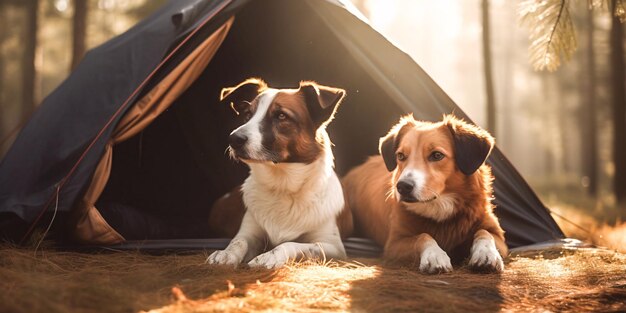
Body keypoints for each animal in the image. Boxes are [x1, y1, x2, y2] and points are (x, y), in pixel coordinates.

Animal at [207, 78, 348, 268]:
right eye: (247, 115)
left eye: (281, 116)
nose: (233, 139)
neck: (282, 186)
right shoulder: (250, 230)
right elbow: (239, 241)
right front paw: (225, 254)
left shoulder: (334, 248)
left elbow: (293, 244)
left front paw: (270, 256)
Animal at [342, 114, 508, 272]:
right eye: (400, 156)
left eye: (437, 155)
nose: (402, 187)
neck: (439, 206)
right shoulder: (394, 244)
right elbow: (422, 236)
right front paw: (434, 255)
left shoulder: (500, 239)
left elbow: (484, 232)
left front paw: (486, 254)